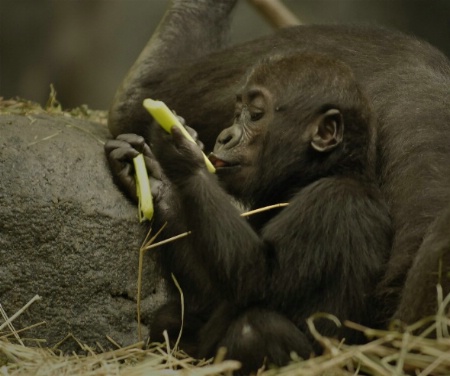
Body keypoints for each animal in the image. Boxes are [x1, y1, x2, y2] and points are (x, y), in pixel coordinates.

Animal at [104, 53, 390, 374]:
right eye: (235, 113)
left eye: (255, 115)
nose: (225, 136)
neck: (317, 175)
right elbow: (213, 295)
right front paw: (155, 181)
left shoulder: (333, 203)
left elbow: (257, 278)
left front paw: (182, 154)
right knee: (172, 317)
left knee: (256, 328)